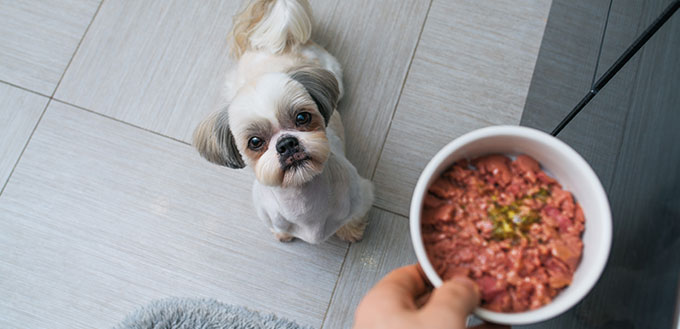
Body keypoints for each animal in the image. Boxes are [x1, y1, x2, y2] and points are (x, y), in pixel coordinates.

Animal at [191, 0, 374, 243]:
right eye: (255, 142)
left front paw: (351, 232)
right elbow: (280, 228)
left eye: (302, 117)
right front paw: (283, 236)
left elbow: (353, 219)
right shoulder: (268, 215)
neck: (304, 204)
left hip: (334, 72)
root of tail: (274, 45)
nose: (286, 143)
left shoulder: (361, 197)